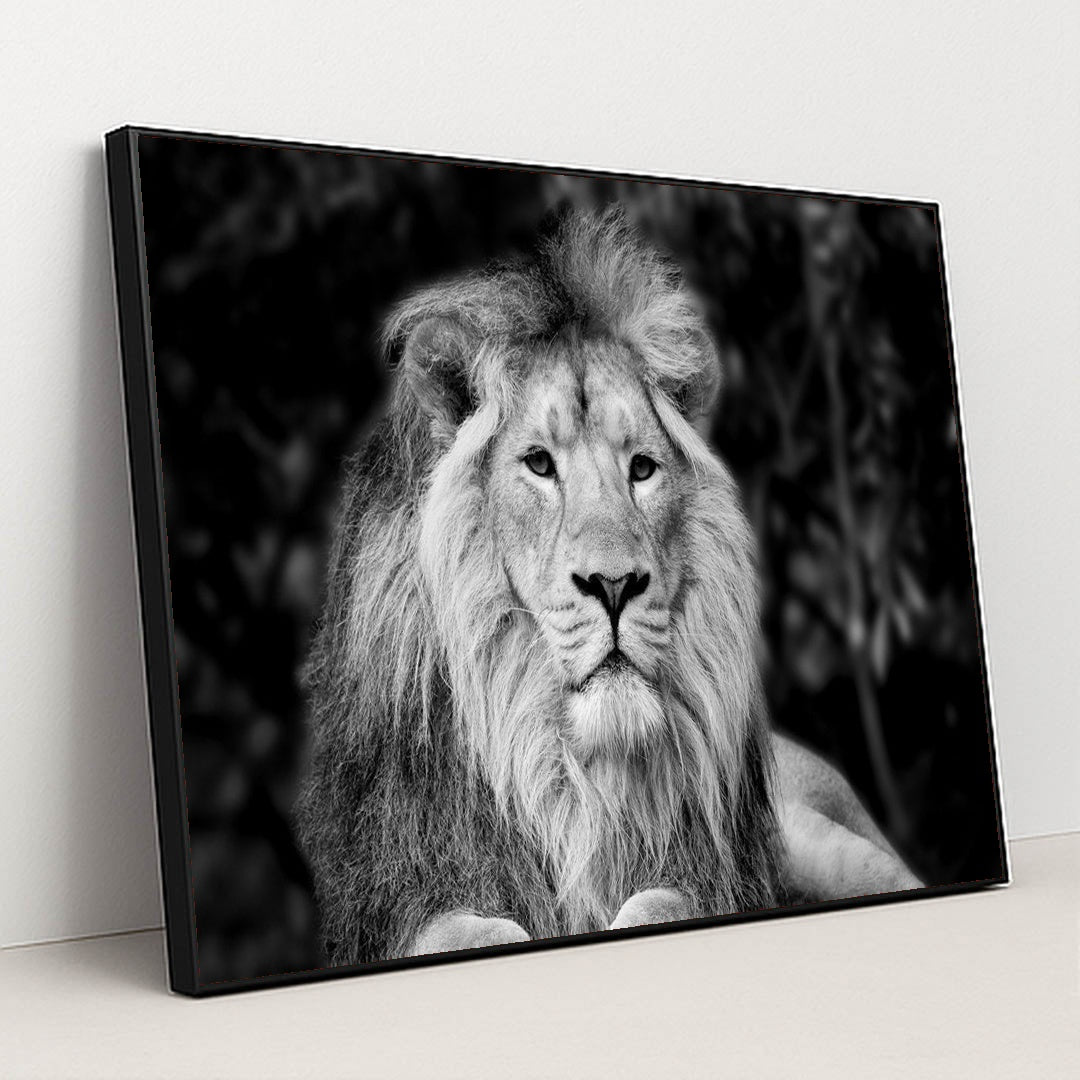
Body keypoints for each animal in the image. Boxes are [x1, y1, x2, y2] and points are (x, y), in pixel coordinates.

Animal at [296, 208, 921, 966]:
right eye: (539, 463)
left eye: (643, 468)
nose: (615, 583)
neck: (567, 771)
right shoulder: (399, 894)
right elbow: (461, 927)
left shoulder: (716, 873)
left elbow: (664, 900)